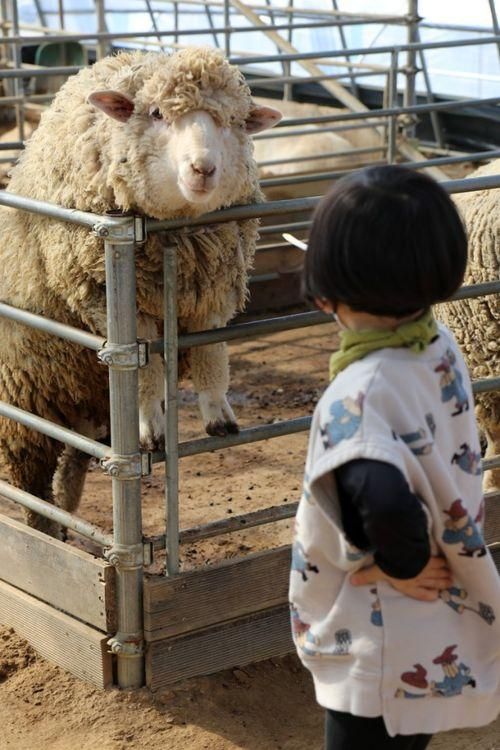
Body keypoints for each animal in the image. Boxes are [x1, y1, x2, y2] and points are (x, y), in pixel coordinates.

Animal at [0, 48, 282, 536]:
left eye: (233, 121)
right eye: (156, 114)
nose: (203, 169)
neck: (177, 232)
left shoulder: (213, 290)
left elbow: (212, 354)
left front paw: (219, 416)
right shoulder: (107, 298)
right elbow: (146, 367)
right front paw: (152, 427)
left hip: (88, 407)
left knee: (74, 467)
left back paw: (71, 512)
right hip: (28, 402)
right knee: (33, 490)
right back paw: (47, 532)